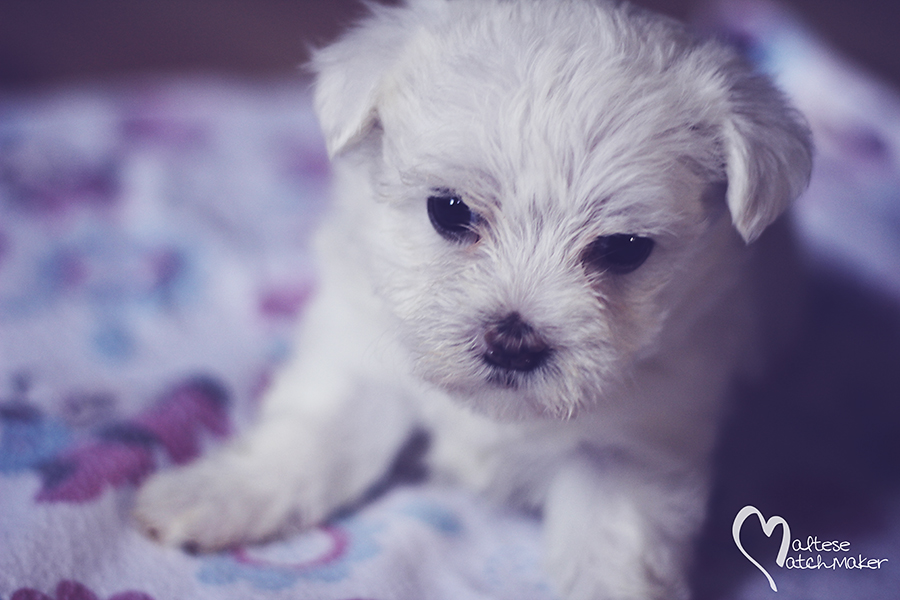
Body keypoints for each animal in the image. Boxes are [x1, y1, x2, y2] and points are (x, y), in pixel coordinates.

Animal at [135, 1, 816, 600]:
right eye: (449, 211)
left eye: (624, 250)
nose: (513, 341)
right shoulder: (358, 352)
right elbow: (312, 433)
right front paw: (215, 495)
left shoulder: (634, 452)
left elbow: (615, 543)